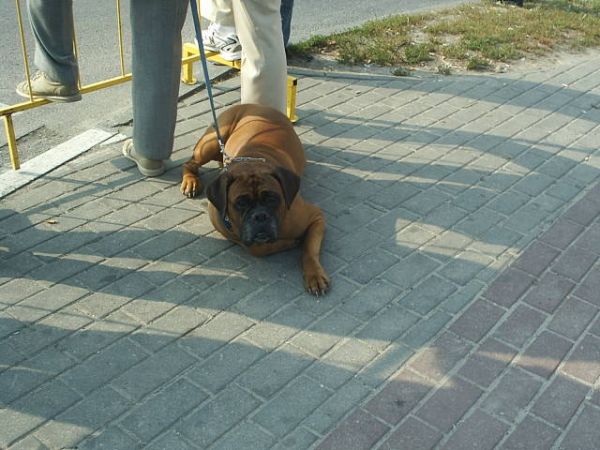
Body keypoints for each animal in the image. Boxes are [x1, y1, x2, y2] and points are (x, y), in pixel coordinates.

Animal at [180, 104, 330, 298]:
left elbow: (309, 250)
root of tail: (254, 105)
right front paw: (289, 243)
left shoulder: (316, 217)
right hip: (210, 142)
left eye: (272, 198)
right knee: (190, 163)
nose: (260, 216)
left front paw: (315, 275)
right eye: (241, 203)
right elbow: (257, 248)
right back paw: (190, 181)